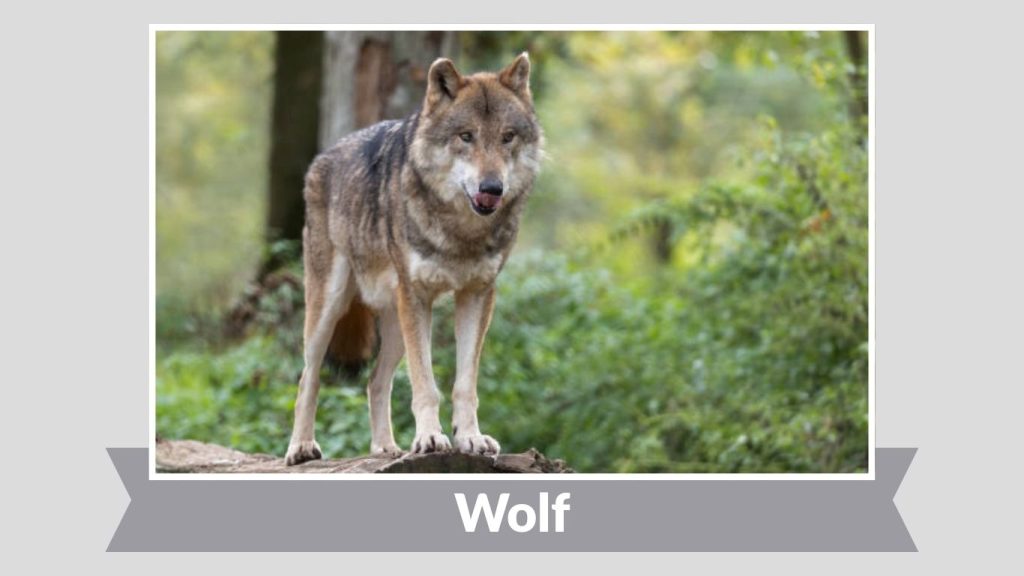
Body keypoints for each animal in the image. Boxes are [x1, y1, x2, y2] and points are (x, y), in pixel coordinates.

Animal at [285, 54, 543, 465]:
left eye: (507, 137)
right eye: (466, 136)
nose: (492, 188)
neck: (461, 233)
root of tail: (322, 157)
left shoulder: (477, 295)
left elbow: (464, 384)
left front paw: (470, 438)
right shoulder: (418, 296)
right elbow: (426, 384)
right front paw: (430, 439)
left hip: (395, 323)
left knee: (375, 381)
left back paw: (385, 448)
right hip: (331, 308)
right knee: (308, 377)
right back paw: (301, 448)